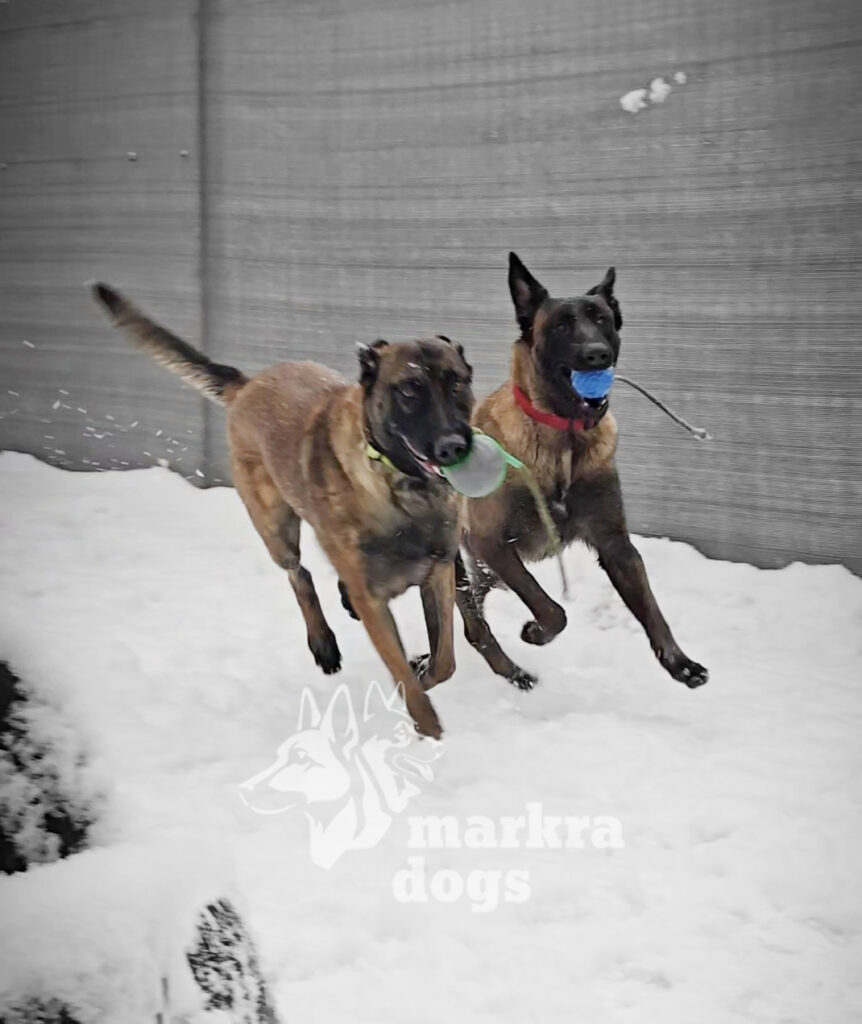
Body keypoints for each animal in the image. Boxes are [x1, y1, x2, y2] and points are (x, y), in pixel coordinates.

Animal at [90, 284, 475, 738]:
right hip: (275, 527)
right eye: (410, 389)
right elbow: (404, 677)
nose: (454, 446)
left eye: (457, 383)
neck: (399, 488)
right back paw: (323, 642)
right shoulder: (374, 600)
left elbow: (445, 662)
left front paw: (424, 672)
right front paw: (429, 730)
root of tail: (249, 384)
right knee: (299, 574)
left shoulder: (439, 571)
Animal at [455, 253, 708, 691]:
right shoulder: (493, 543)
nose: (597, 355)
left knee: (477, 614)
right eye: (560, 325)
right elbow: (552, 609)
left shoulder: (615, 545)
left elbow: (652, 610)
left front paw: (680, 663)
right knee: (473, 623)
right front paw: (536, 632)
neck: (564, 438)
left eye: (602, 319)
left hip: (484, 570)